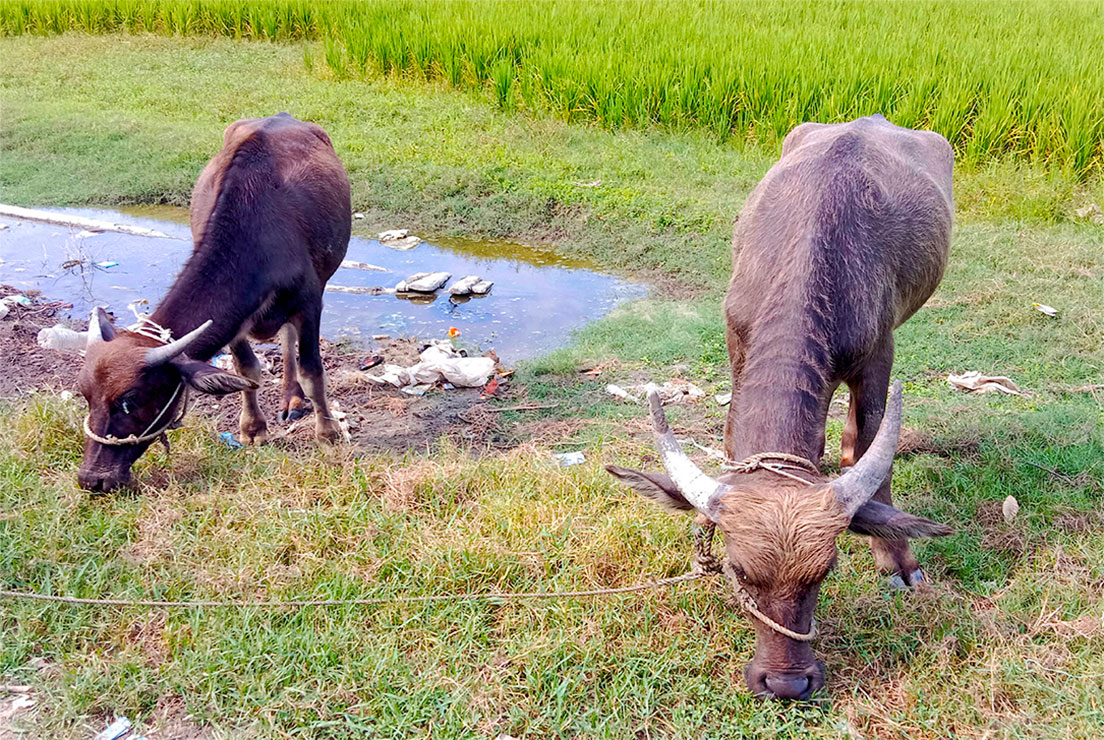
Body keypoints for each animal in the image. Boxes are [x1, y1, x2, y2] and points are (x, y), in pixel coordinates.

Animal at [76, 111, 348, 492]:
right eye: (85, 395)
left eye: (130, 400)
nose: (92, 479)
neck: (257, 236)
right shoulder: (235, 320)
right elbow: (247, 370)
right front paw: (253, 429)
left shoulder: (309, 304)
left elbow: (312, 371)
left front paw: (328, 434)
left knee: (288, 340)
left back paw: (293, 398)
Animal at [609, 115, 953, 702]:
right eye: (739, 570)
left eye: (825, 572)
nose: (787, 683)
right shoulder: (735, 340)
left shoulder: (879, 355)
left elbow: (874, 441)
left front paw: (899, 560)